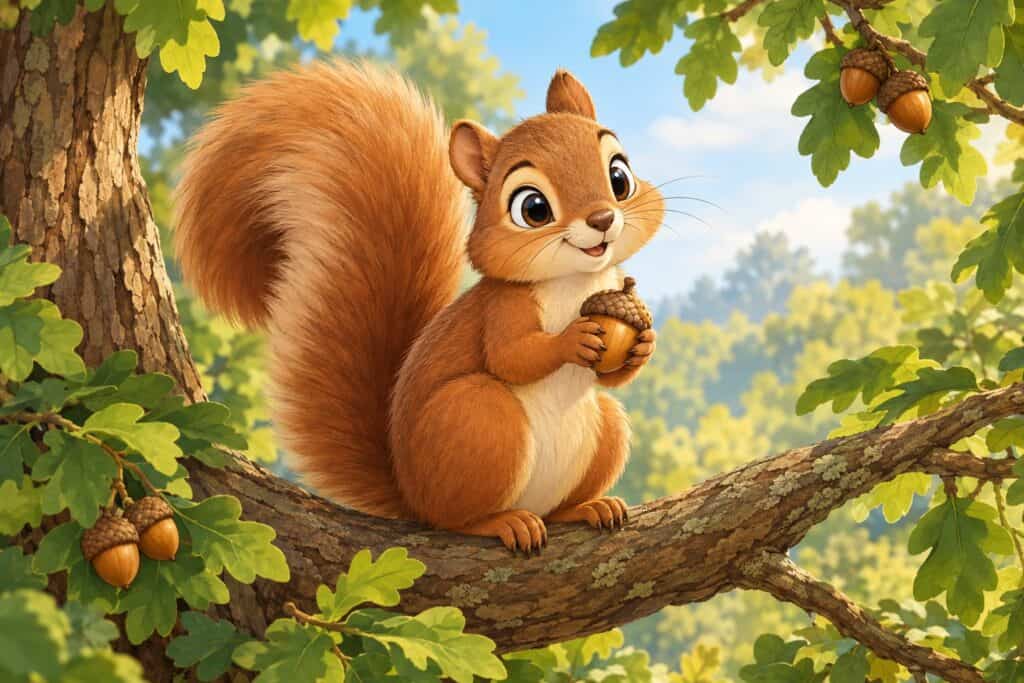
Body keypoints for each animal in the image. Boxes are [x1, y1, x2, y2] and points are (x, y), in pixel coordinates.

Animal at [174, 61, 664, 553]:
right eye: (533, 208)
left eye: (619, 177)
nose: (602, 220)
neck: (577, 280)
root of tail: (412, 497)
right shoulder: (503, 306)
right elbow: (512, 356)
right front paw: (573, 338)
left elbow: (614, 375)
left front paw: (643, 344)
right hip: (480, 420)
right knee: (456, 517)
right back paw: (503, 522)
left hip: (605, 429)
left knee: (569, 484)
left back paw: (588, 507)